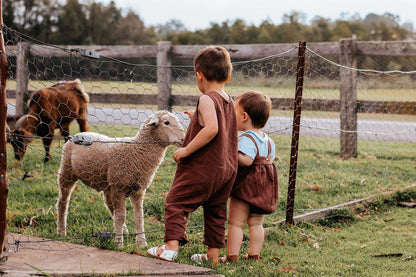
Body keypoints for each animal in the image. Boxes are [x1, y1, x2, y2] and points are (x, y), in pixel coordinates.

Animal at [56, 110, 184, 248]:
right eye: (166, 122)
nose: (183, 139)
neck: (137, 152)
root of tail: (78, 135)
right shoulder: (119, 188)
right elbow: (121, 216)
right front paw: (119, 243)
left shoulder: (138, 190)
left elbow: (139, 217)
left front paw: (142, 243)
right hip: (67, 172)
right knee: (63, 202)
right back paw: (61, 231)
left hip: (108, 184)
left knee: (109, 205)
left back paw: (124, 230)